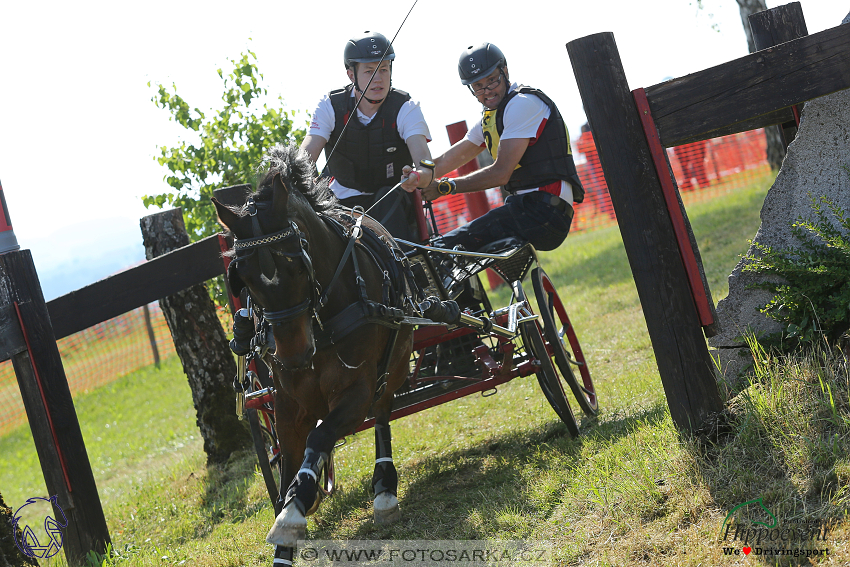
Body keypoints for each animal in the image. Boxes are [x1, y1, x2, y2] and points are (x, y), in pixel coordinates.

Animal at [211, 144, 410, 552]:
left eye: (298, 263)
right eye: (244, 278)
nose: (294, 354)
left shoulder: (357, 392)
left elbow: (320, 436)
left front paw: (296, 507)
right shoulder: (287, 403)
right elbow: (289, 460)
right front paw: (292, 507)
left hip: (393, 365)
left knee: (383, 411)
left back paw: (384, 488)